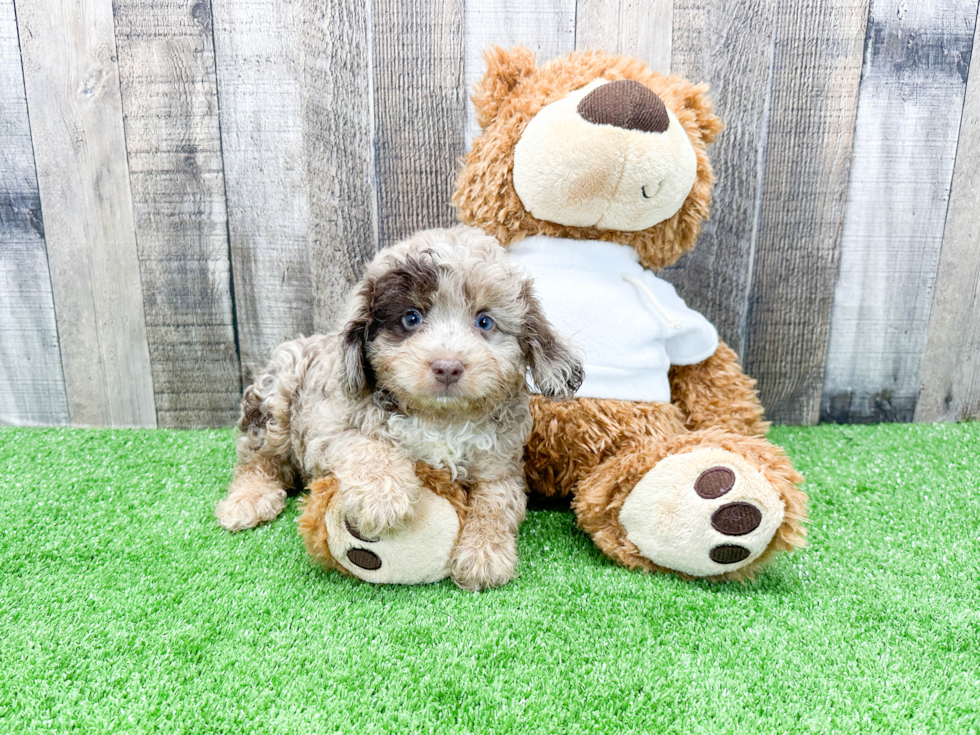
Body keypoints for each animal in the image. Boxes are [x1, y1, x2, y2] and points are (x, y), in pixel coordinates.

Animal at [216, 227, 580, 588]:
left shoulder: (500, 464)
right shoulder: (326, 428)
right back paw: (247, 500)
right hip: (277, 399)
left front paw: (484, 553)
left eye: (485, 322)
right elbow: (364, 446)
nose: (448, 367)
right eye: (411, 318)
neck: (441, 418)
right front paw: (383, 497)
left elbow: (498, 502)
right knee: (257, 459)